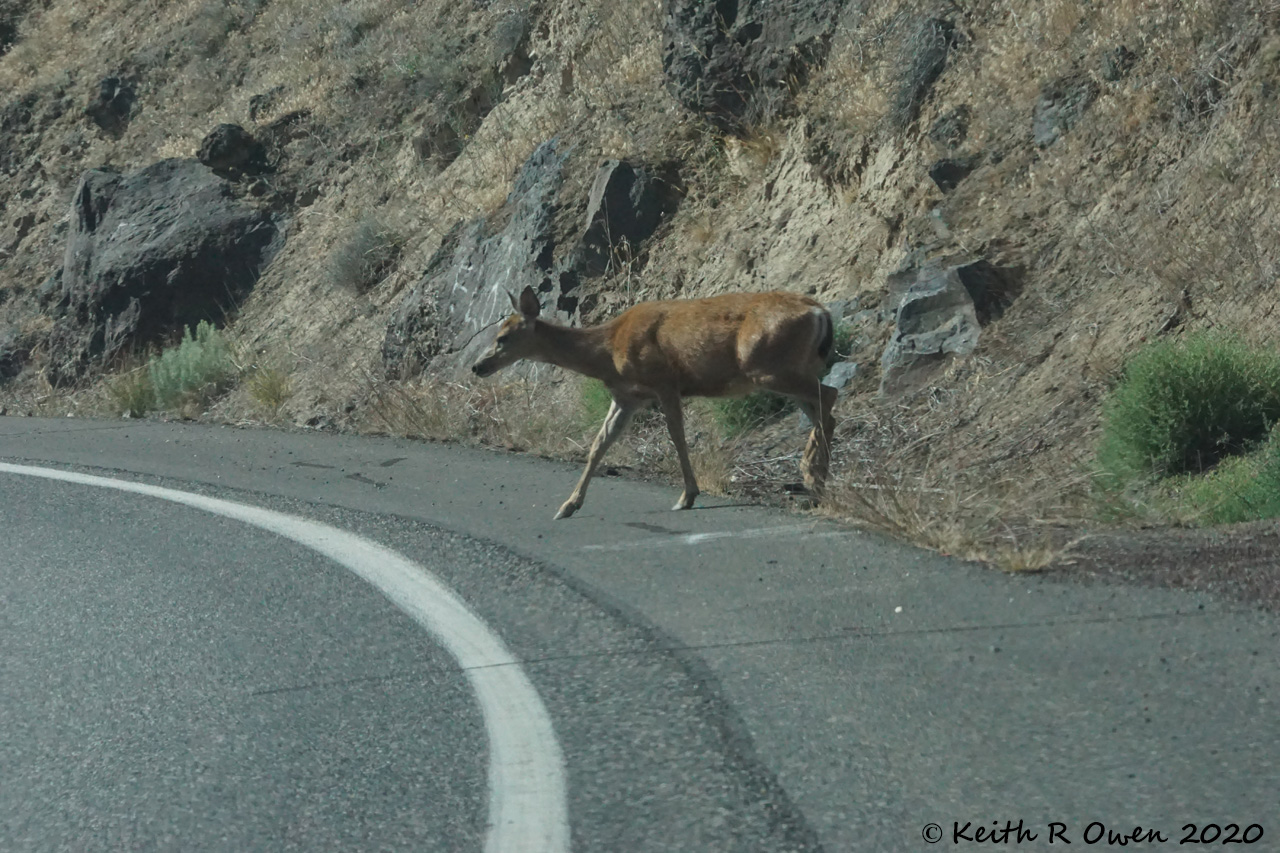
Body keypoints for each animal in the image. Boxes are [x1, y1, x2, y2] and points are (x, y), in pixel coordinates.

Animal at [472, 285, 838, 520]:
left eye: (503, 337)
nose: (477, 366)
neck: (607, 350)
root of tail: (820, 311)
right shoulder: (627, 397)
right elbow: (598, 444)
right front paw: (568, 506)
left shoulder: (664, 382)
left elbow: (677, 438)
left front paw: (687, 496)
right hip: (790, 368)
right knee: (823, 406)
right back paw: (815, 478)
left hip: (767, 367)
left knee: (830, 395)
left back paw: (812, 472)